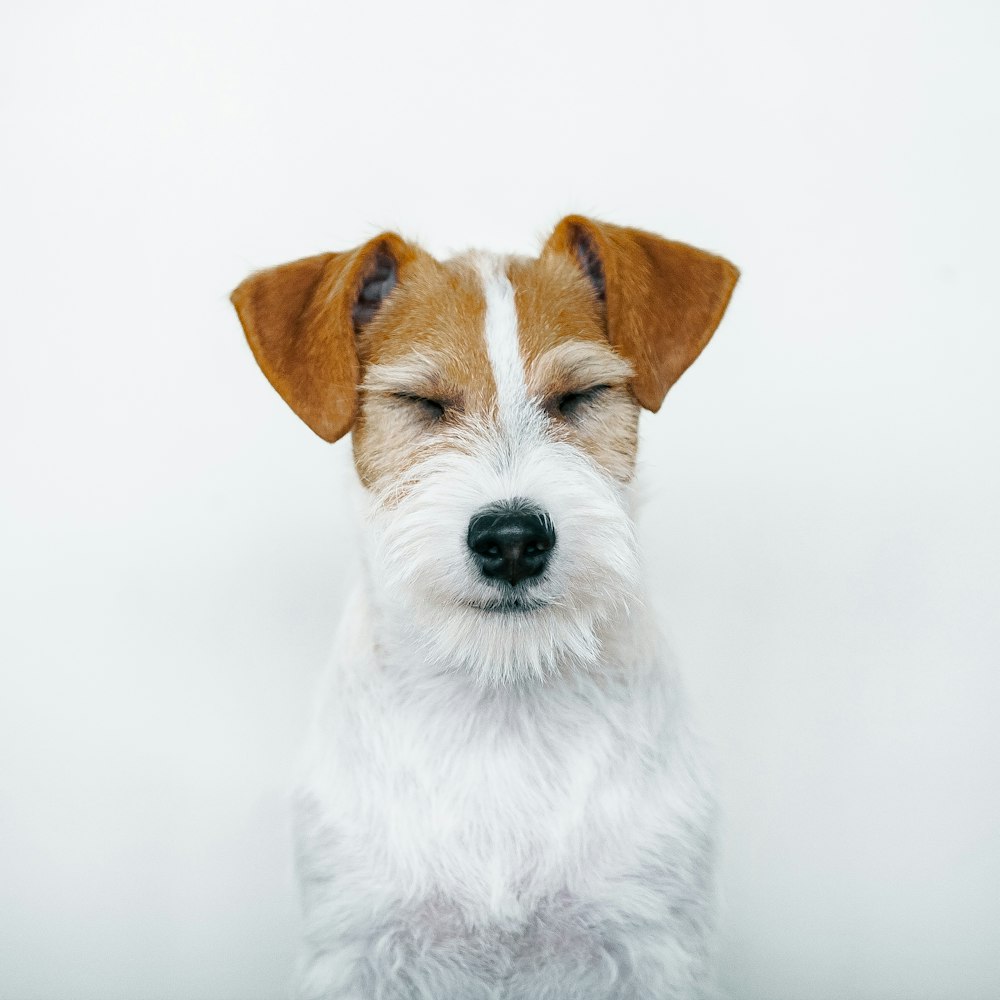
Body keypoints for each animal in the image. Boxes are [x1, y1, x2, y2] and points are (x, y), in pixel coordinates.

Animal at [230, 215, 740, 996]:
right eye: (422, 403)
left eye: (579, 396)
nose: (512, 539)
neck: (499, 705)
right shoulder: (356, 946)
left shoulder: (653, 945)